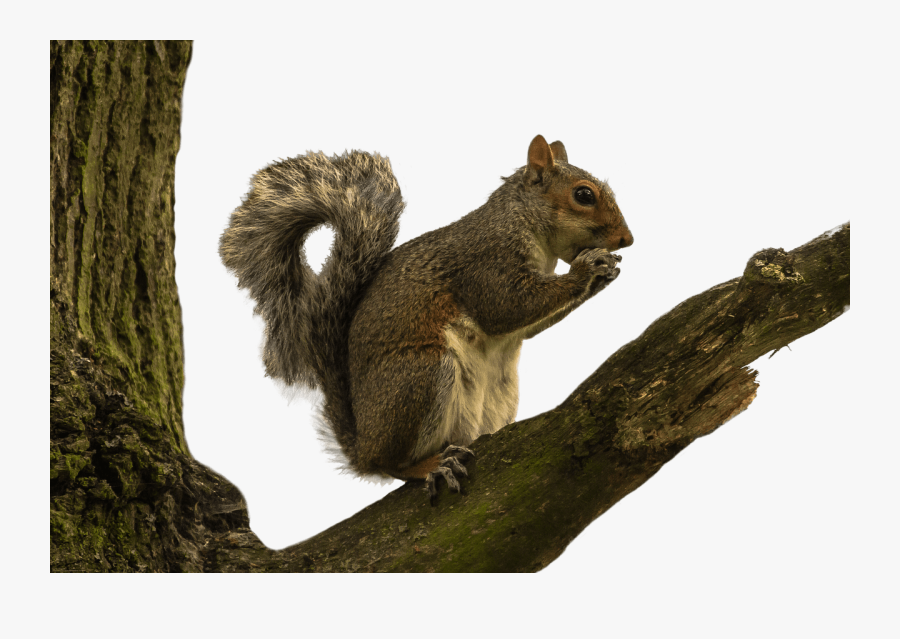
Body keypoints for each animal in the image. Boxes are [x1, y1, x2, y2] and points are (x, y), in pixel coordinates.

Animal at [219, 135, 633, 500]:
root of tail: (363, 445)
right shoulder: (486, 263)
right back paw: (430, 465)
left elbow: (527, 326)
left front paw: (605, 273)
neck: (524, 223)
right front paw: (586, 270)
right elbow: (506, 308)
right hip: (421, 375)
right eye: (583, 195)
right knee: (392, 465)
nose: (627, 240)